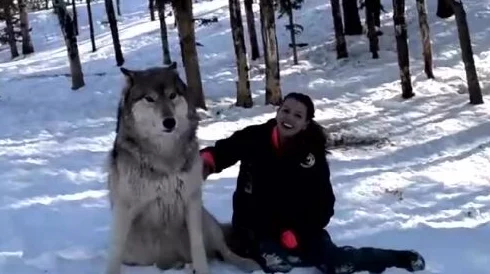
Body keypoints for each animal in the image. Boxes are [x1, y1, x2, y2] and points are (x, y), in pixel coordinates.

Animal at [105, 63, 260, 274]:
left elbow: (198, 246)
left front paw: (202, 270)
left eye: (172, 95)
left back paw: (246, 264)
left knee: (223, 251)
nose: (169, 121)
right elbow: (115, 249)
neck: (165, 155)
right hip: (136, 253)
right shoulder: (125, 207)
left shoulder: (191, 200)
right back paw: (179, 265)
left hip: (207, 221)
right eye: (149, 98)